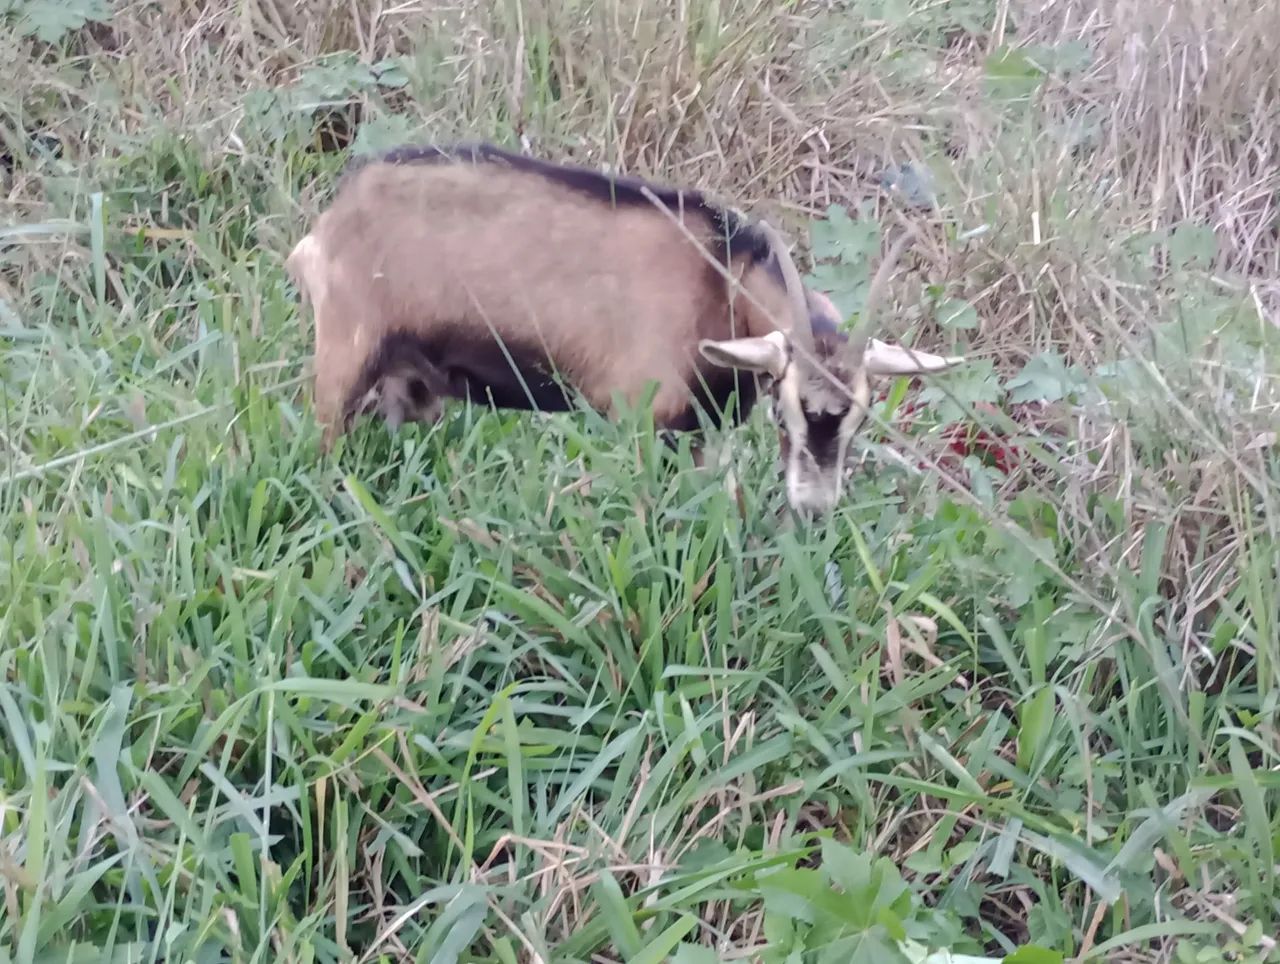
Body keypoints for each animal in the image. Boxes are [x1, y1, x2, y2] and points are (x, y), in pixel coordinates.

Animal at [285, 142, 965, 516]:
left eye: (861, 417)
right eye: (785, 409)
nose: (815, 507)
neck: (721, 277)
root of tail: (331, 222)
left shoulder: (699, 433)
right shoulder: (637, 418)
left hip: (413, 387)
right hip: (345, 356)